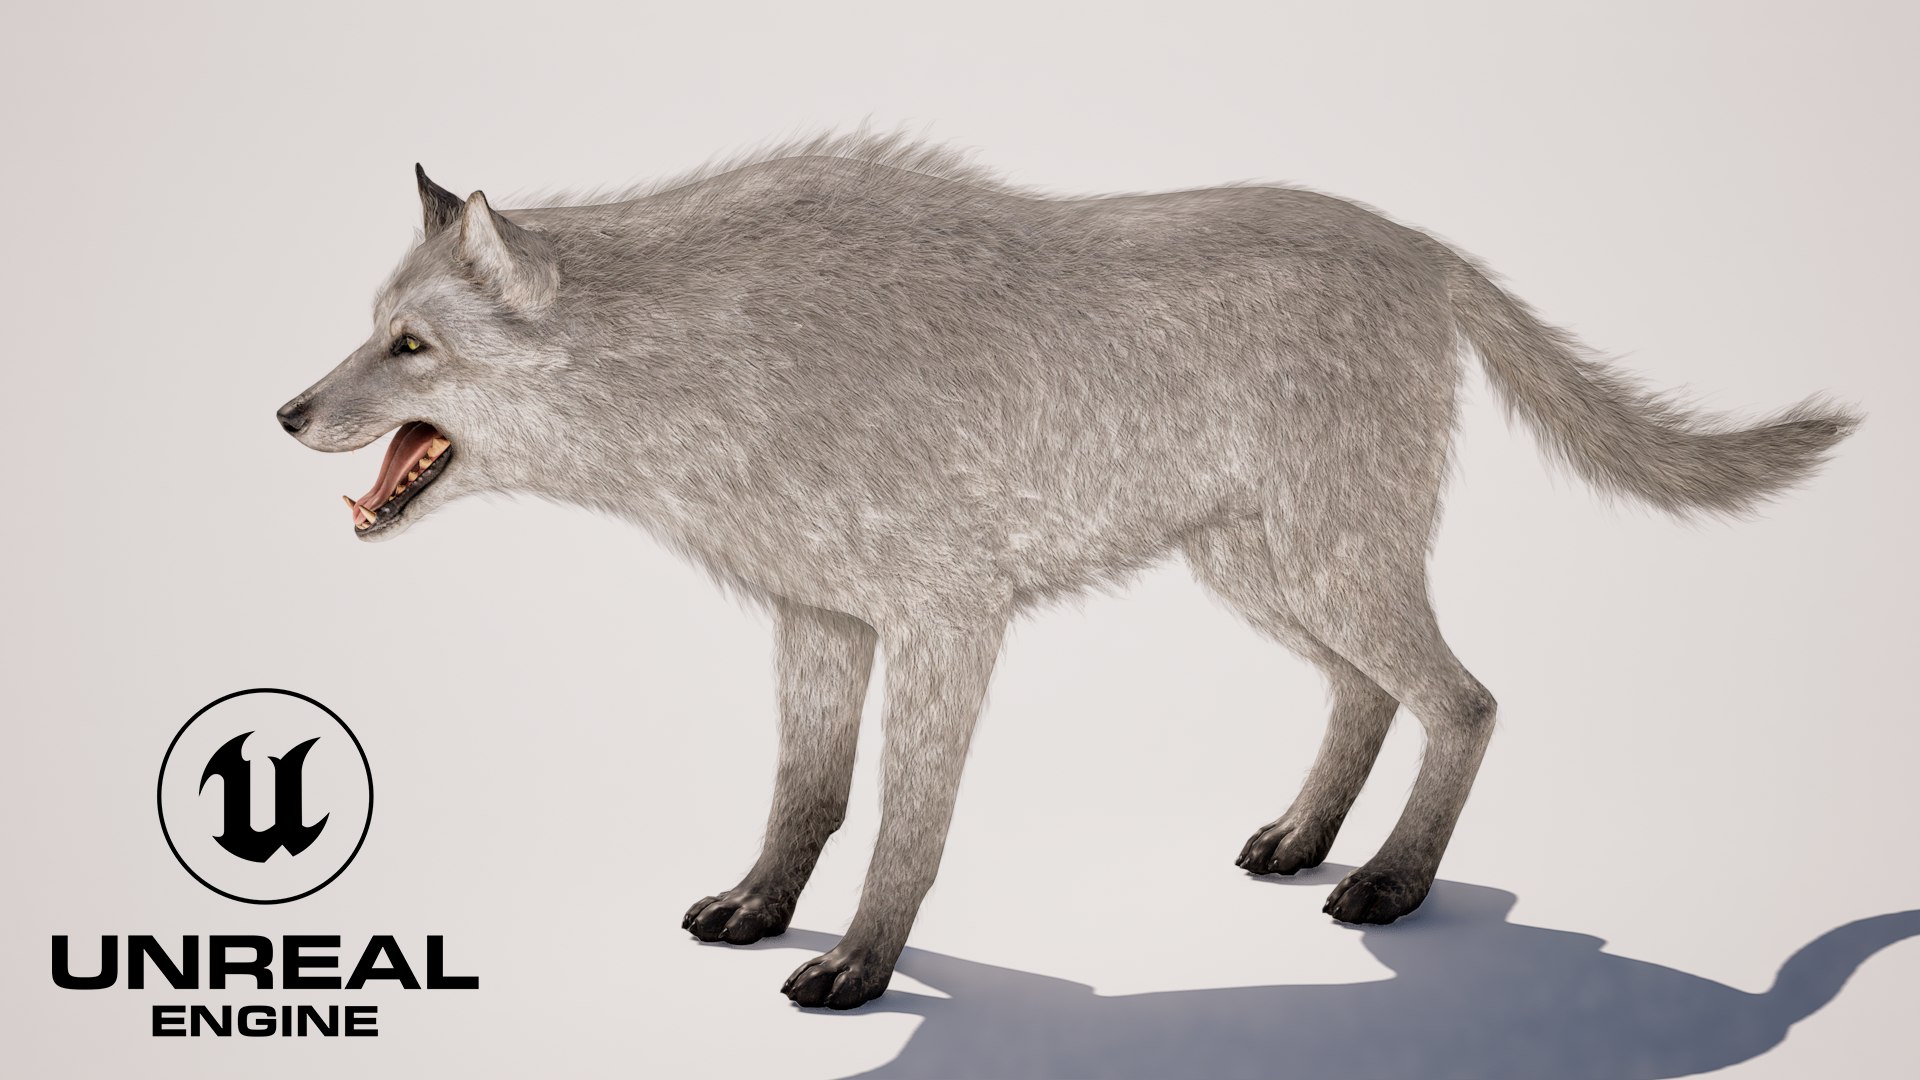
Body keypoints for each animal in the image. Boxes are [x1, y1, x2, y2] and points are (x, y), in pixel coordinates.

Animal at [277, 134, 1857, 1009]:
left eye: (410, 346)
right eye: (369, 327)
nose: (286, 413)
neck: (716, 370)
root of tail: (1424, 244)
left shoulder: (945, 621)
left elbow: (905, 825)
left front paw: (858, 971)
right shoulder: (818, 618)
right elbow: (804, 796)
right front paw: (758, 910)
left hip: (1323, 566)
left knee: (1465, 699)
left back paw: (1392, 885)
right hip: (1264, 574)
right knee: (1372, 697)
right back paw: (1304, 841)